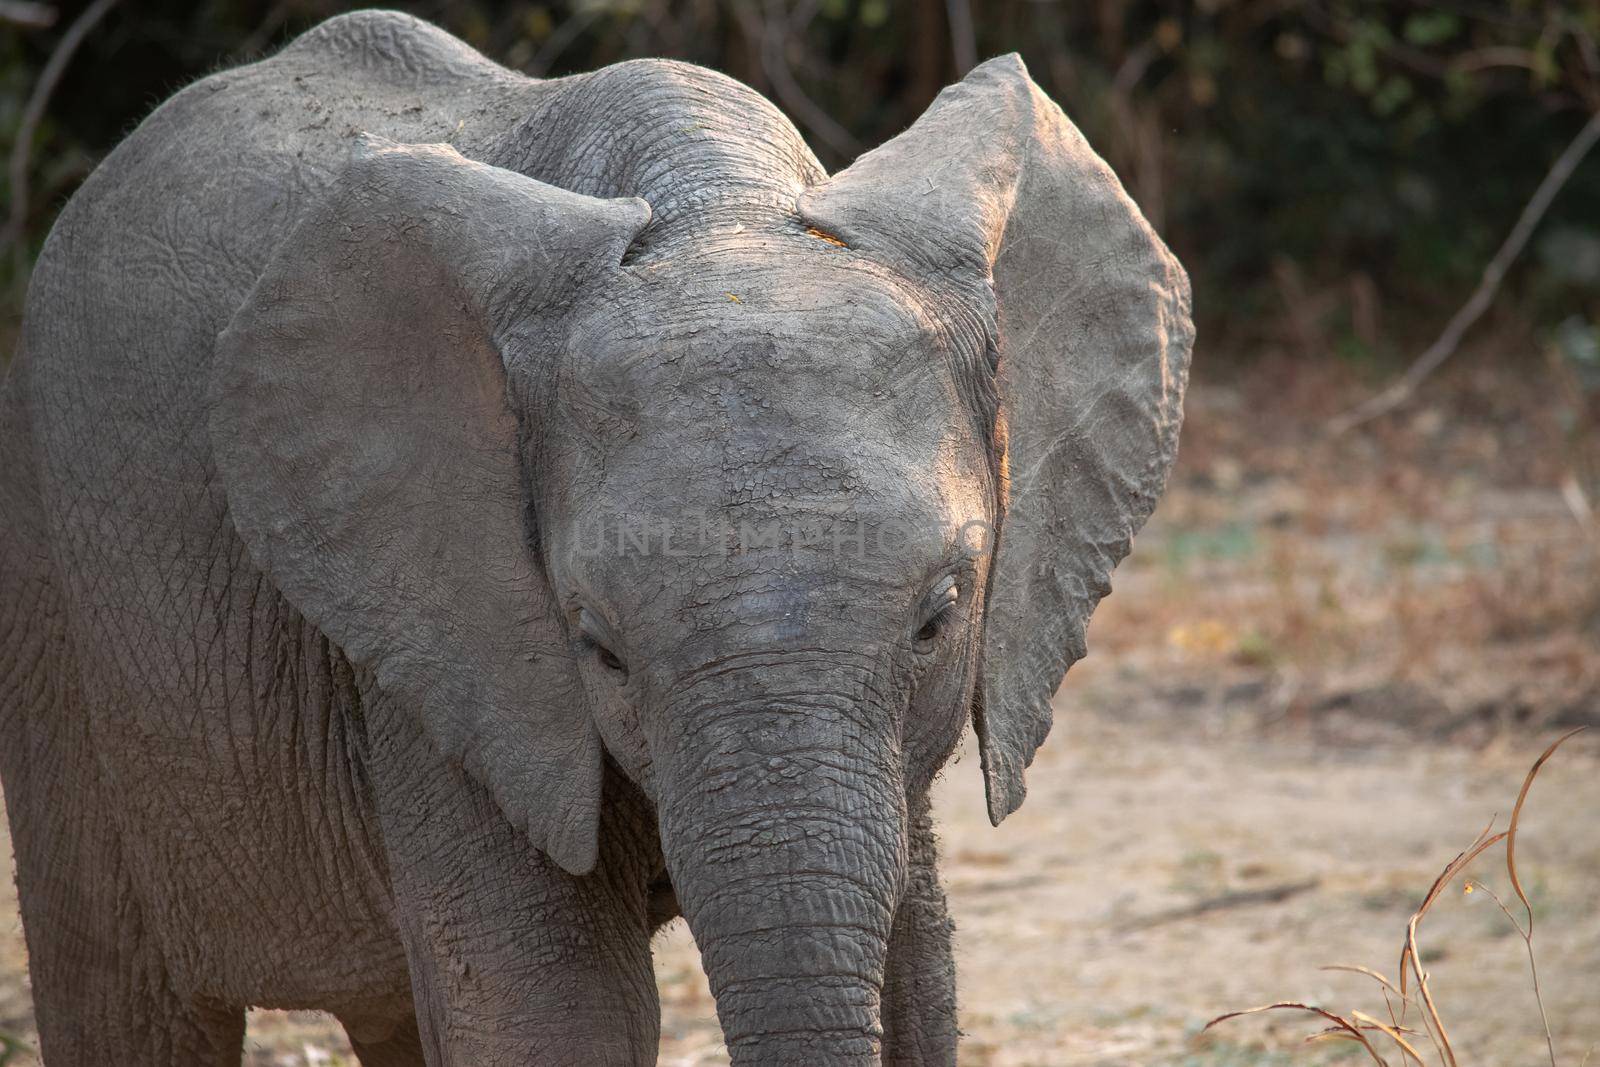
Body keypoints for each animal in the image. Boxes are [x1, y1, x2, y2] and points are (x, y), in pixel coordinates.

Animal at [0, 10, 1190, 1067]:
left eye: (940, 620)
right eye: (598, 648)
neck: (720, 211)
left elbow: (918, 977)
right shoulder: (439, 645)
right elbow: (556, 1011)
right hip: (50, 603)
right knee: (126, 999)